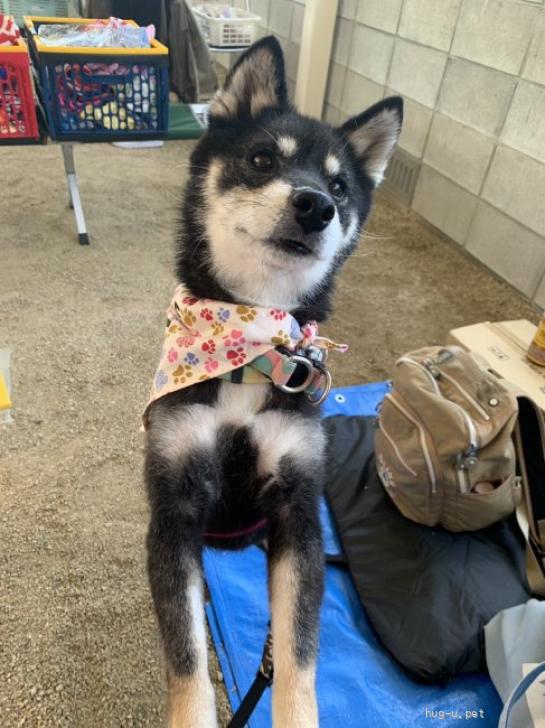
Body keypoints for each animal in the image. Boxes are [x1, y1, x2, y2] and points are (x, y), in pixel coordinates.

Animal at [144, 36, 402, 728]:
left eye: (340, 186)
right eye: (262, 159)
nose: (316, 205)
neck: (249, 344)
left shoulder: (297, 515)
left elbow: (299, 658)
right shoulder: (175, 509)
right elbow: (187, 662)